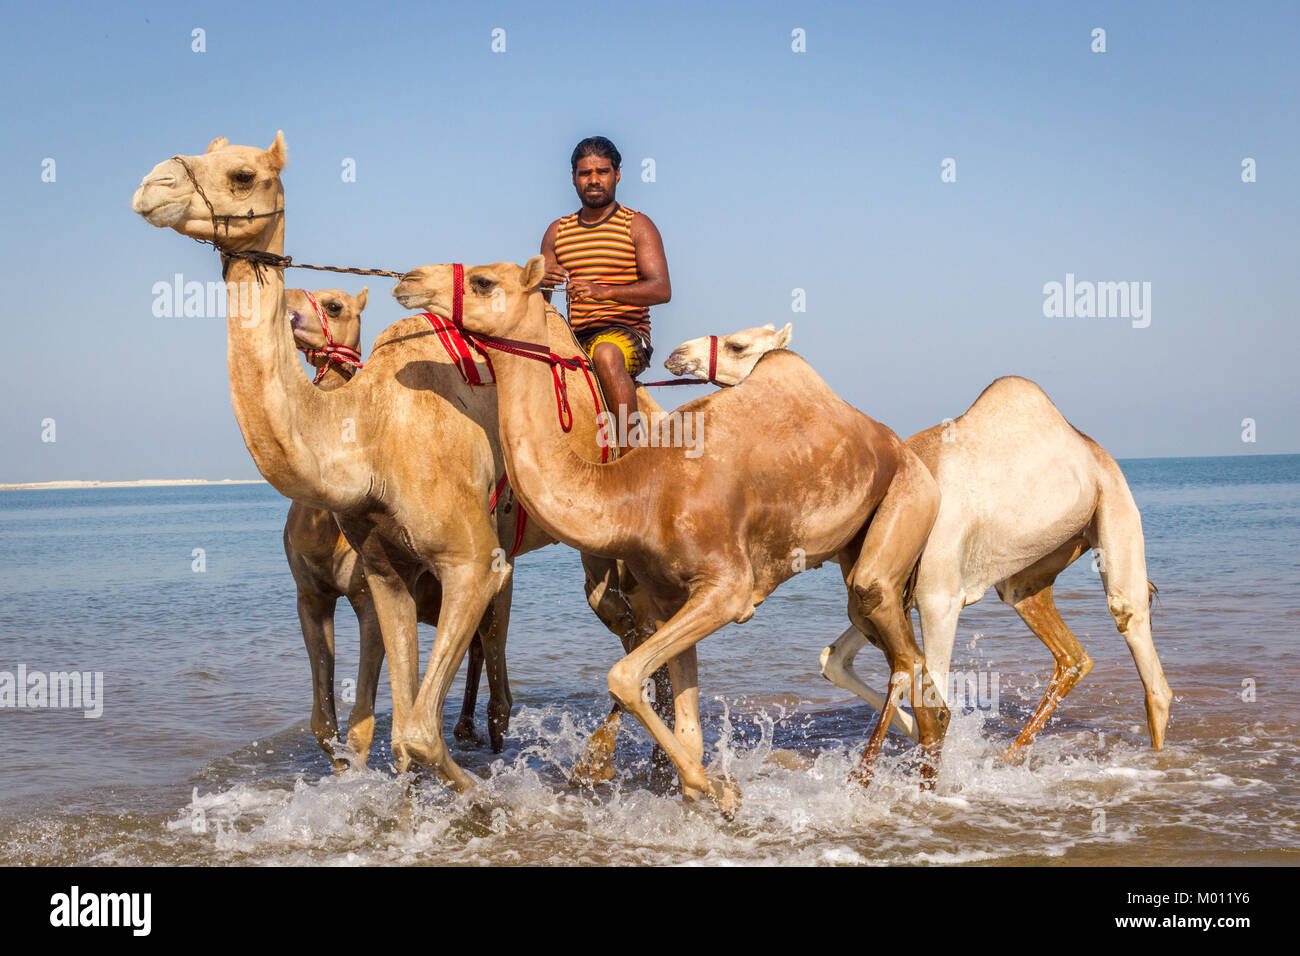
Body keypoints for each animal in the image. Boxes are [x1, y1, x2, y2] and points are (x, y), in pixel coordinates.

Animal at [131, 130, 670, 785]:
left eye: (242, 174)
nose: (153, 184)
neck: (371, 430)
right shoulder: (384, 571)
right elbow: (399, 729)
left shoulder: (470, 560)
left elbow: (415, 730)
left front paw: (489, 799)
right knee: (632, 627)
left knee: (636, 623)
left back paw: (610, 760)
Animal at [390, 256, 951, 816]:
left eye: (483, 280)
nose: (408, 280)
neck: (634, 494)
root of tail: (895, 443)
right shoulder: (665, 598)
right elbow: (685, 728)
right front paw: (703, 787)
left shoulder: (726, 588)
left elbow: (624, 676)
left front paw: (718, 789)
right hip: (857, 549)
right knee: (902, 655)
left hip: (909, 502)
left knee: (901, 646)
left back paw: (885, 782)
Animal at [665, 329, 1175, 754]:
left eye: (739, 345)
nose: (676, 354)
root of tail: (1090, 448)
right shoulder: (893, 590)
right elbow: (837, 660)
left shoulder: (937, 596)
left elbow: (934, 685)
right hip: (1029, 573)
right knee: (1069, 653)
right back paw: (1010, 755)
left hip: (1116, 505)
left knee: (1139, 641)